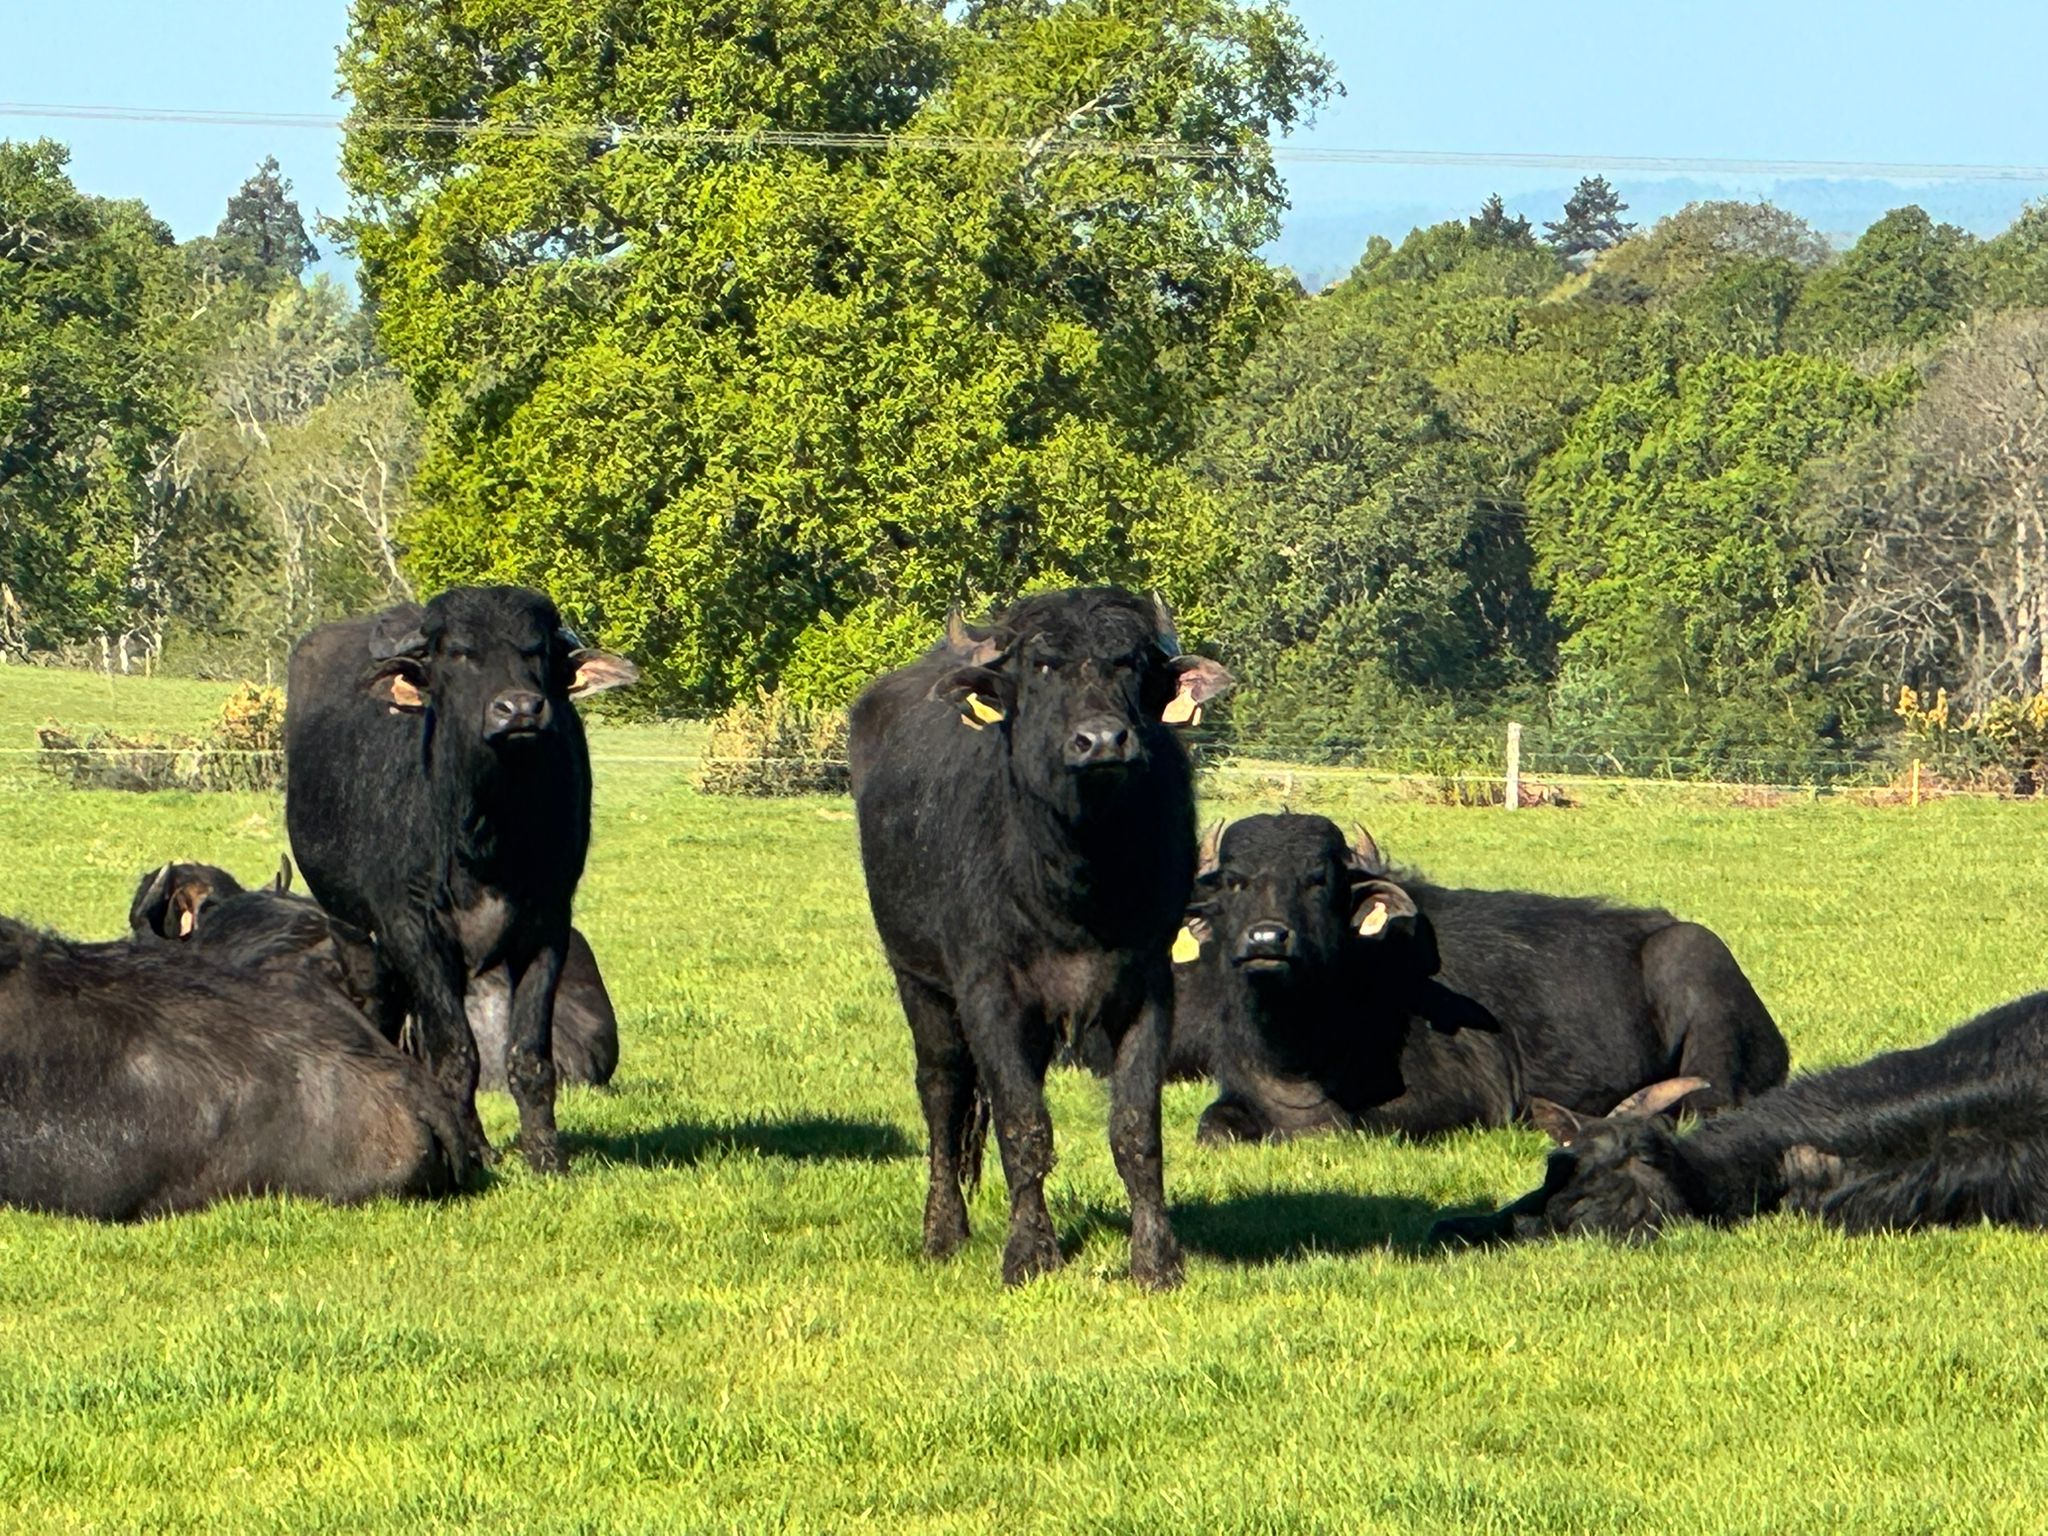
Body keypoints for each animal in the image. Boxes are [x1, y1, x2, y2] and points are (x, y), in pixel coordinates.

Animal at [284, 586, 635, 1171]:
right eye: (458, 653)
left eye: (537, 650)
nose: (519, 709)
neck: (484, 830)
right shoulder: (411, 927)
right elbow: (456, 1053)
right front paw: (472, 1151)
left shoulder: (547, 925)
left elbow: (528, 1054)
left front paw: (545, 1155)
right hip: (350, 926)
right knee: (382, 1009)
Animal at [849, 587, 1232, 1287]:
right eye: (1042, 667)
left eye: (1131, 663)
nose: (1102, 740)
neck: (1077, 877)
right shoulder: (990, 993)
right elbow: (1023, 1126)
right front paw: (1030, 1253)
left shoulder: (1148, 987)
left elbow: (1137, 1131)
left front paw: (1156, 1259)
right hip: (915, 977)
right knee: (942, 1093)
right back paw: (943, 1231)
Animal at [1162, 814, 1786, 1144]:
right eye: (1236, 881)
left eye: (1319, 880)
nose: (1267, 940)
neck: (1301, 1049)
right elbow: (1212, 1125)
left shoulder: (1463, 1101)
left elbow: (1355, 1124)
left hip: (1695, 963)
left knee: (1706, 1102)